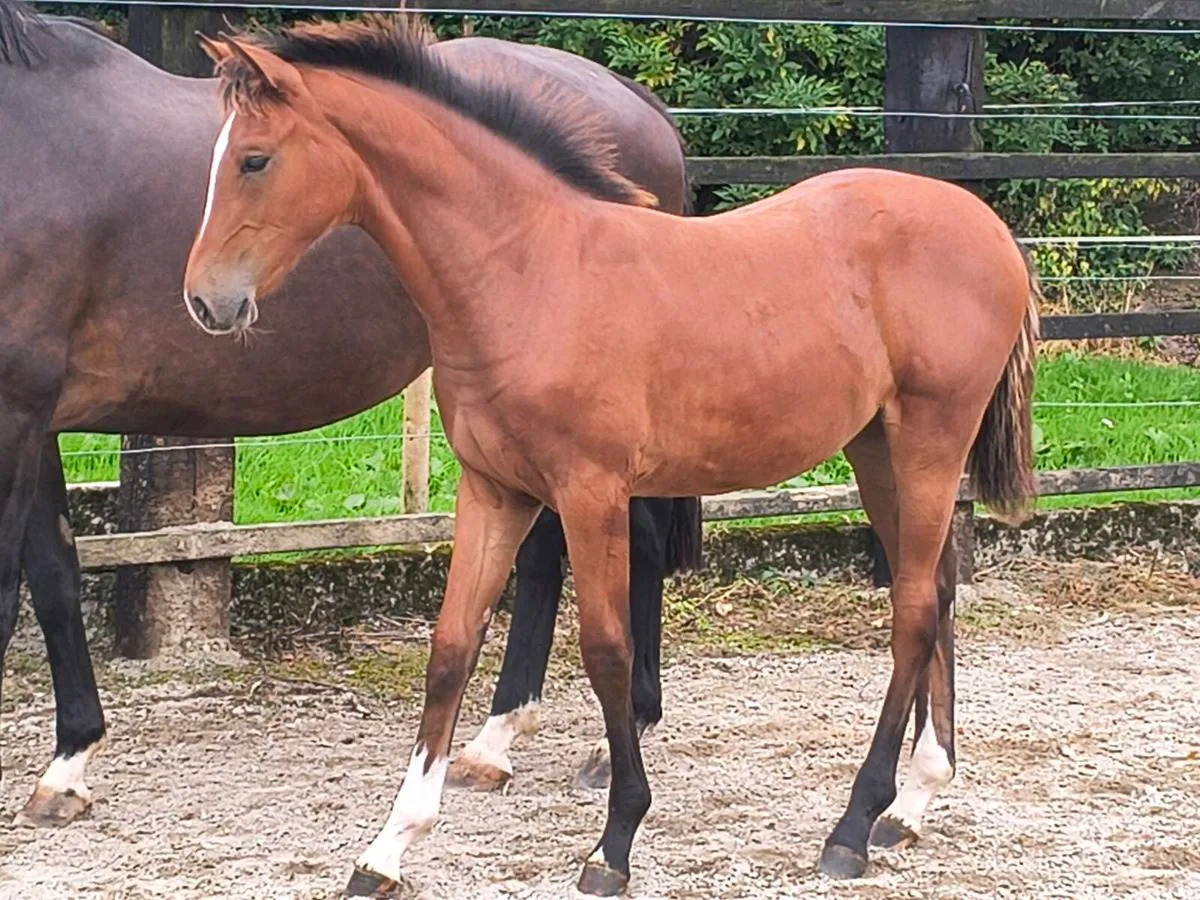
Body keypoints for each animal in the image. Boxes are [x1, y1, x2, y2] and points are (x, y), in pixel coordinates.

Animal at [0, 1, 700, 829]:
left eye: (255, 163)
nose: (209, 299)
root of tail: (637, 102)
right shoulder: (35, 416)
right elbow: (54, 573)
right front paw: (67, 765)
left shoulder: (12, 410)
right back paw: (499, 740)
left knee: (624, 548)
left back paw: (597, 734)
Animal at [186, 15, 1041, 896]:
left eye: (255, 159)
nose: (206, 300)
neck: (529, 272)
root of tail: (989, 229)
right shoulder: (493, 489)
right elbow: (451, 648)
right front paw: (388, 847)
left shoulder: (589, 491)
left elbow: (605, 649)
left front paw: (615, 841)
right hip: (877, 448)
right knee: (936, 589)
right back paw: (912, 803)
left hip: (932, 439)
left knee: (912, 611)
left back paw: (853, 825)